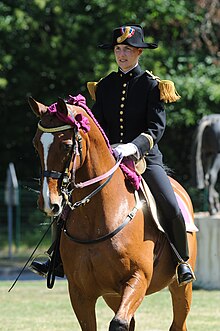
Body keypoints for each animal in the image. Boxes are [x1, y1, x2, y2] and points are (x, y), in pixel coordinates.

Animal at [28, 94, 198, 331]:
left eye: (66, 145)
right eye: (36, 146)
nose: (48, 202)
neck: (96, 219)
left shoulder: (137, 279)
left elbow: (118, 323)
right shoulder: (80, 293)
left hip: (181, 289)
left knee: (177, 322)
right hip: (113, 296)